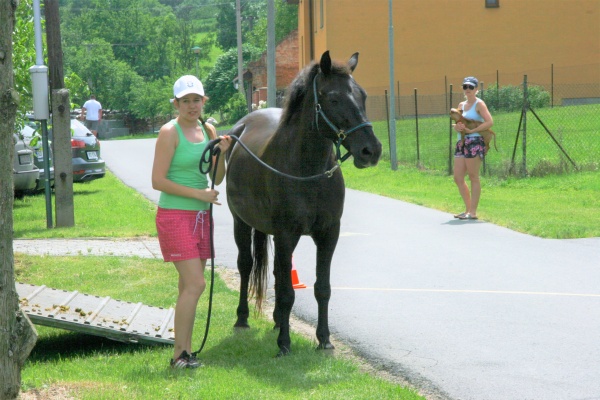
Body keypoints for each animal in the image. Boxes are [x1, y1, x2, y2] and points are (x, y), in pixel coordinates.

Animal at [225, 51, 382, 357]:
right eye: (334, 99)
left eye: (363, 95)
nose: (371, 150)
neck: (308, 170)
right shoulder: (287, 235)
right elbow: (287, 292)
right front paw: (284, 344)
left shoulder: (328, 234)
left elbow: (322, 288)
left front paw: (324, 340)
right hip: (242, 223)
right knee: (246, 265)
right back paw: (242, 318)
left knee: (276, 272)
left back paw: (277, 321)